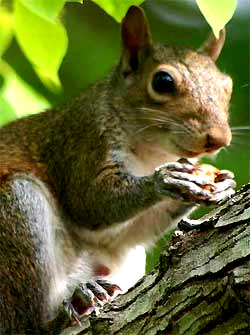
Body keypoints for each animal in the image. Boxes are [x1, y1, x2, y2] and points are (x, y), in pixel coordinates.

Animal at [0, 5, 235, 335]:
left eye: (227, 86)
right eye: (163, 81)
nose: (219, 139)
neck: (150, 152)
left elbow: (129, 233)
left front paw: (220, 184)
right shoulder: (81, 141)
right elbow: (89, 201)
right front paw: (164, 180)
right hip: (16, 216)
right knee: (25, 322)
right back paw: (66, 310)